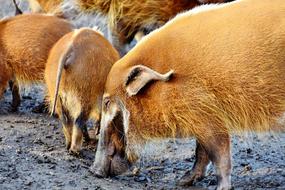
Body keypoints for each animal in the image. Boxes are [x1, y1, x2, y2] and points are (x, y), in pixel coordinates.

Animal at [90, 0, 284, 190]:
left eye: (106, 102)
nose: (94, 171)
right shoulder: (202, 119)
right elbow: (201, 152)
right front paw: (182, 182)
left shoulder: (209, 120)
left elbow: (219, 156)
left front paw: (220, 188)